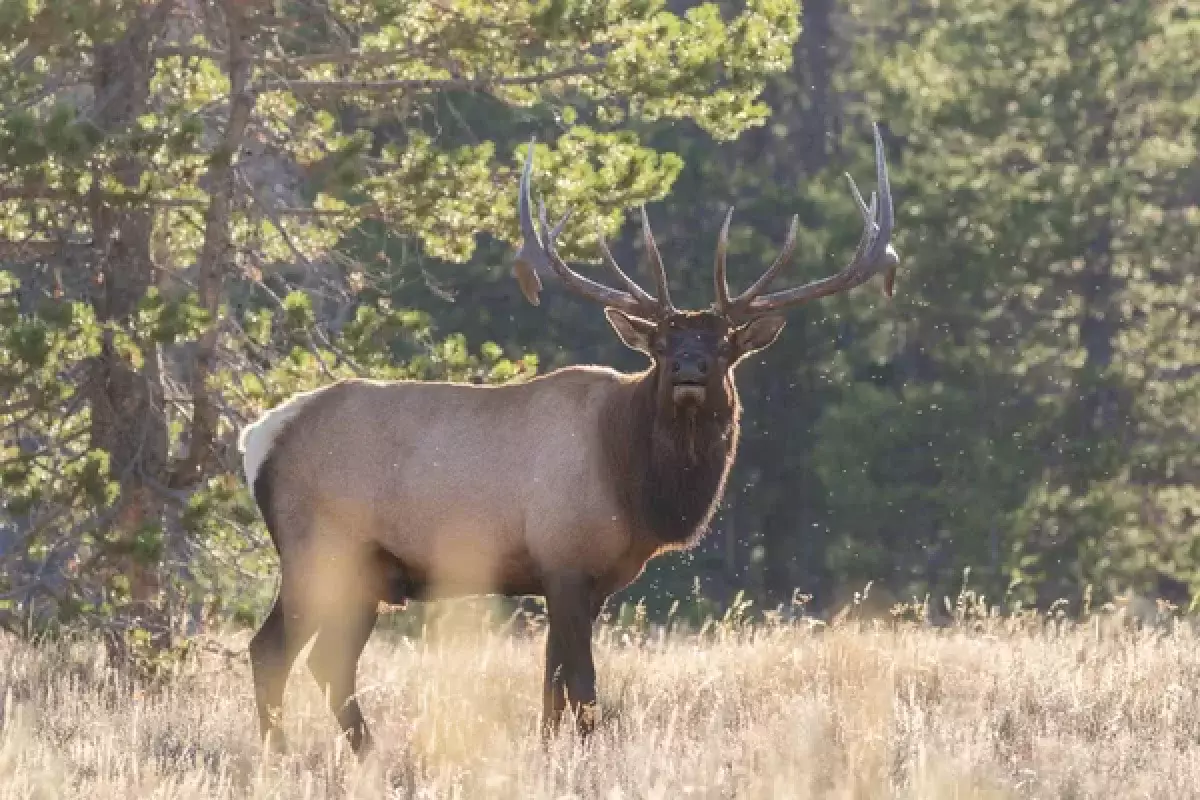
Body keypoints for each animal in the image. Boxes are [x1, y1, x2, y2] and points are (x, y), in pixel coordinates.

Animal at [238, 122, 902, 753]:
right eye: (661, 343)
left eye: (724, 346)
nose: (688, 369)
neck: (638, 488)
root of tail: (259, 438)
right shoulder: (563, 560)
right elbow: (581, 687)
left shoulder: (591, 580)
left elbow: (552, 688)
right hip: (317, 549)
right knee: (272, 650)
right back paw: (282, 755)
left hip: (365, 575)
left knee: (327, 664)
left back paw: (363, 756)